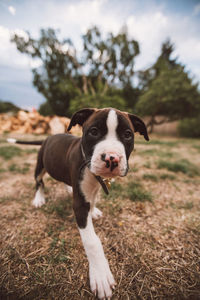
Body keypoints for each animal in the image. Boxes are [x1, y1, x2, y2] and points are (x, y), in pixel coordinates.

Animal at [7, 107, 148, 298]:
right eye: (94, 132)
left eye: (127, 135)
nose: (112, 158)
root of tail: (47, 138)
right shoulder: (79, 205)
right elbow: (92, 241)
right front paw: (100, 275)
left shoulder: (93, 187)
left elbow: (94, 198)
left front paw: (94, 210)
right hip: (40, 165)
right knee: (39, 182)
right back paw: (39, 198)